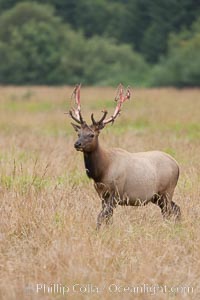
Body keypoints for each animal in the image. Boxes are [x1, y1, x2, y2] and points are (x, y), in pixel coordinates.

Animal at [67, 84, 181, 230]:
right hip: (157, 196)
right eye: (78, 133)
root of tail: (177, 165)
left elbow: (101, 217)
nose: (77, 144)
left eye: (92, 135)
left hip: (167, 191)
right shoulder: (102, 195)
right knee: (176, 208)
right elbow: (108, 218)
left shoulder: (116, 193)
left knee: (169, 212)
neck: (101, 172)